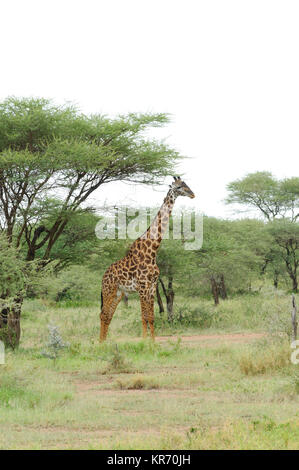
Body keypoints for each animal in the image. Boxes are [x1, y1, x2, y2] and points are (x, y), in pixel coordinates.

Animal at [99, 176, 196, 342]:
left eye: (186, 184)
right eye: (178, 187)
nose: (192, 194)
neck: (152, 250)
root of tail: (103, 276)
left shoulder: (151, 286)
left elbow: (151, 317)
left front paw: (152, 342)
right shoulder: (143, 287)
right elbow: (144, 317)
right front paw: (144, 343)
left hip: (119, 293)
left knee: (108, 315)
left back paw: (104, 343)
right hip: (109, 290)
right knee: (103, 314)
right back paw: (99, 344)